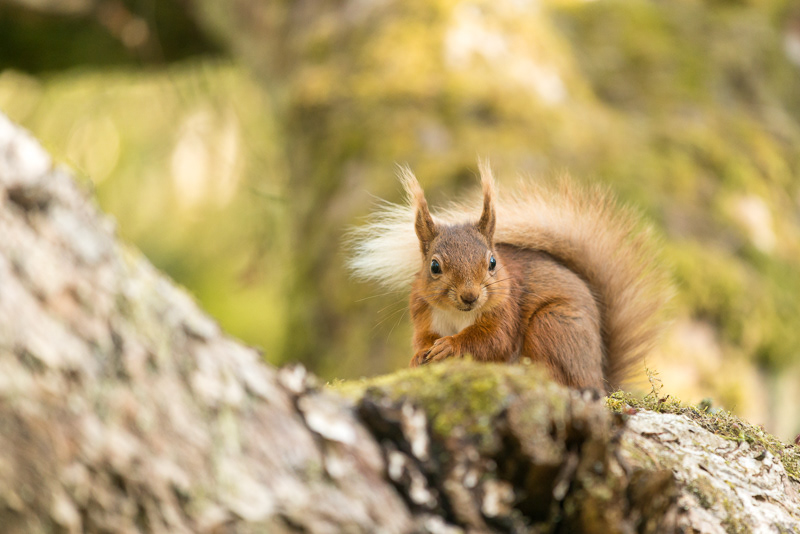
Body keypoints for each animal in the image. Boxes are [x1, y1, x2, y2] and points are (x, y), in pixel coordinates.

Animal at [349, 162, 670, 393]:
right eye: (434, 267)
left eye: (492, 262)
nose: (470, 296)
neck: (458, 315)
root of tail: (599, 379)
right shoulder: (424, 315)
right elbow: (423, 341)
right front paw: (418, 358)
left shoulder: (506, 311)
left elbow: (492, 341)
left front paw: (451, 346)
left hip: (553, 325)